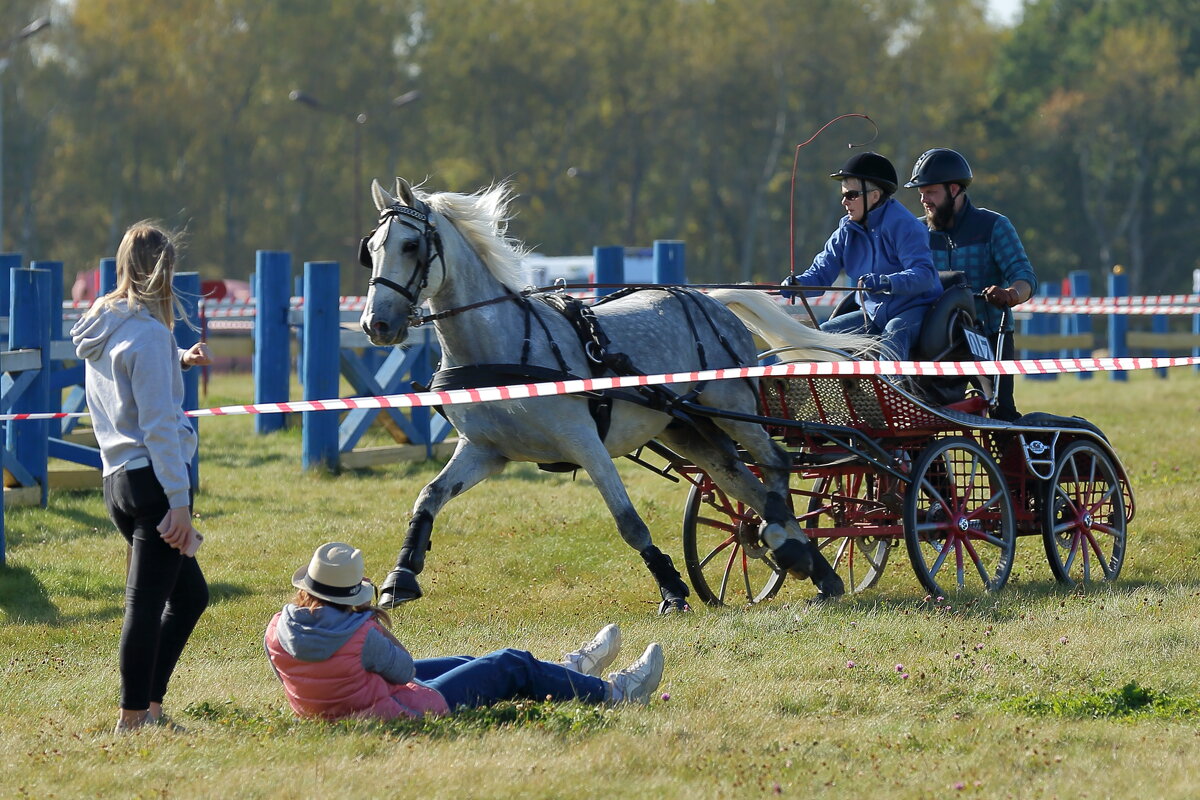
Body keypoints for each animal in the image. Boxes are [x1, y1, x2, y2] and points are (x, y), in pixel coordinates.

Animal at [360, 176, 878, 614]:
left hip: (731, 408)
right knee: (737, 478)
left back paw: (792, 545)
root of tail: (712, 299)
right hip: (684, 426)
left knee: (775, 465)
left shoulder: (585, 443)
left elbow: (629, 521)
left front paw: (672, 590)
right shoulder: (484, 451)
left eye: (411, 244)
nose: (376, 325)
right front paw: (400, 577)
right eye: (371, 249)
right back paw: (806, 560)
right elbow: (428, 497)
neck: (505, 347)